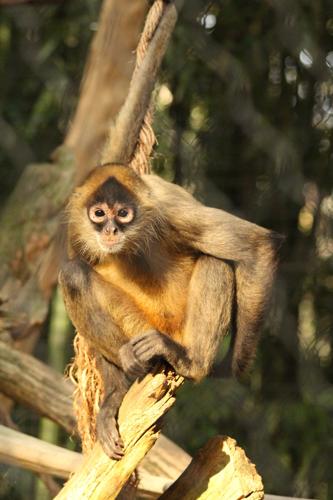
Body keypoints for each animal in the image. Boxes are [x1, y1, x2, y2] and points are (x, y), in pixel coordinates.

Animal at [59, 163, 280, 458]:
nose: (110, 230)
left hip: (180, 331)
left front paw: (228, 368)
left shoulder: (170, 209)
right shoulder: (76, 227)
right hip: (139, 328)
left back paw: (191, 362)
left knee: (215, 261)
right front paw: (114, 396)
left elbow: (257, 245)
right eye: (99, 213)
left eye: (123, 214)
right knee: (73, 274)